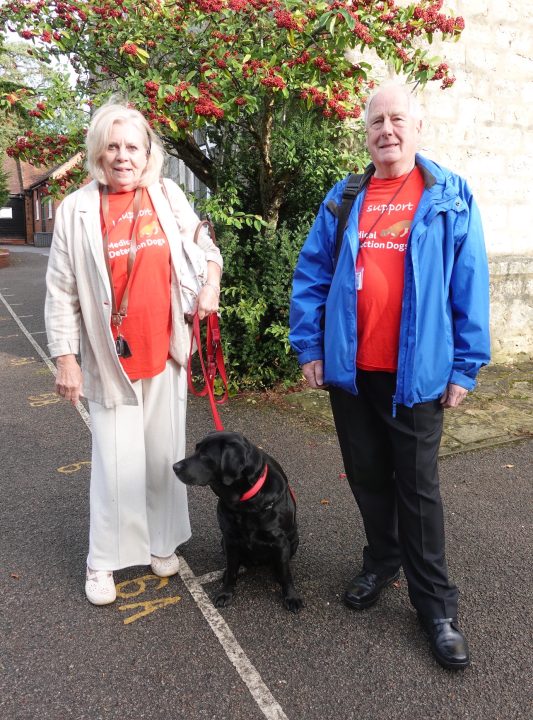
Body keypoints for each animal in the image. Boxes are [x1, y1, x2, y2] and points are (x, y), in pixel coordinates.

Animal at [172, 434, 302, 612]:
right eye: (196, 449)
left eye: (204, 455)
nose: (174, 466)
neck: (245, 502)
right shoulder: (230, 539)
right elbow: (232, 570)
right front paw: (225, 593)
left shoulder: (281, 542)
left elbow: (286, 574)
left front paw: (291, 597)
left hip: (294, 540)